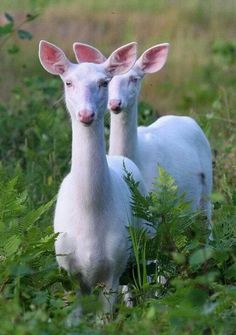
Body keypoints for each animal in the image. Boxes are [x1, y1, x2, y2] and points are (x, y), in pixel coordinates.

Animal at [38, 40, 146, 316]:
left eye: (104, 82)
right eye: (68, 82)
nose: (86, 115)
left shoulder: (114, 267)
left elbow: (104, 318)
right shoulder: (68, 271)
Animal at [74, 44, 213, 223]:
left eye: (134, 78)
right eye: (108, 81)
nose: (115, 103)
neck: (137, 158)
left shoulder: (158, 200)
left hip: (208, 180)